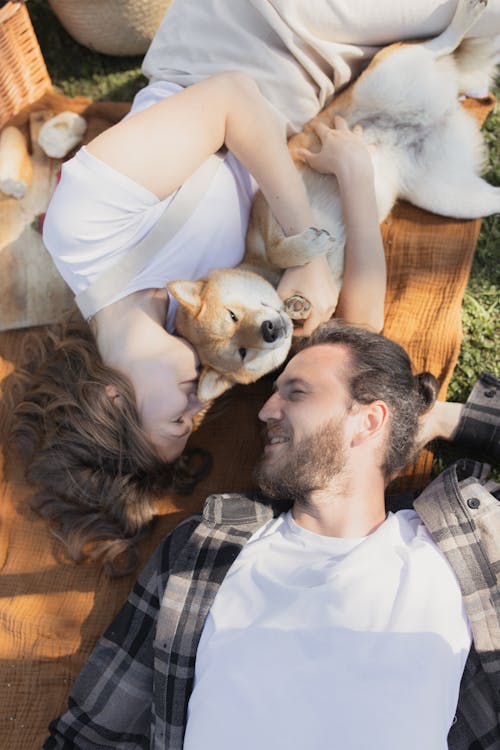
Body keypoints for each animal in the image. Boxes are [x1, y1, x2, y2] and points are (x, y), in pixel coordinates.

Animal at [171, 0, 496, 406]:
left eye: (231, 315)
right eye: (241, 352)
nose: (269, 331)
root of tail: (439, 114)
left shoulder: (268, 208)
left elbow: (280, 246)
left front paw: (307, 247)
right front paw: (300, 303)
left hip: (385, 78)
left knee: (436, 45)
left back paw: (465, 18)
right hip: (447, 196)